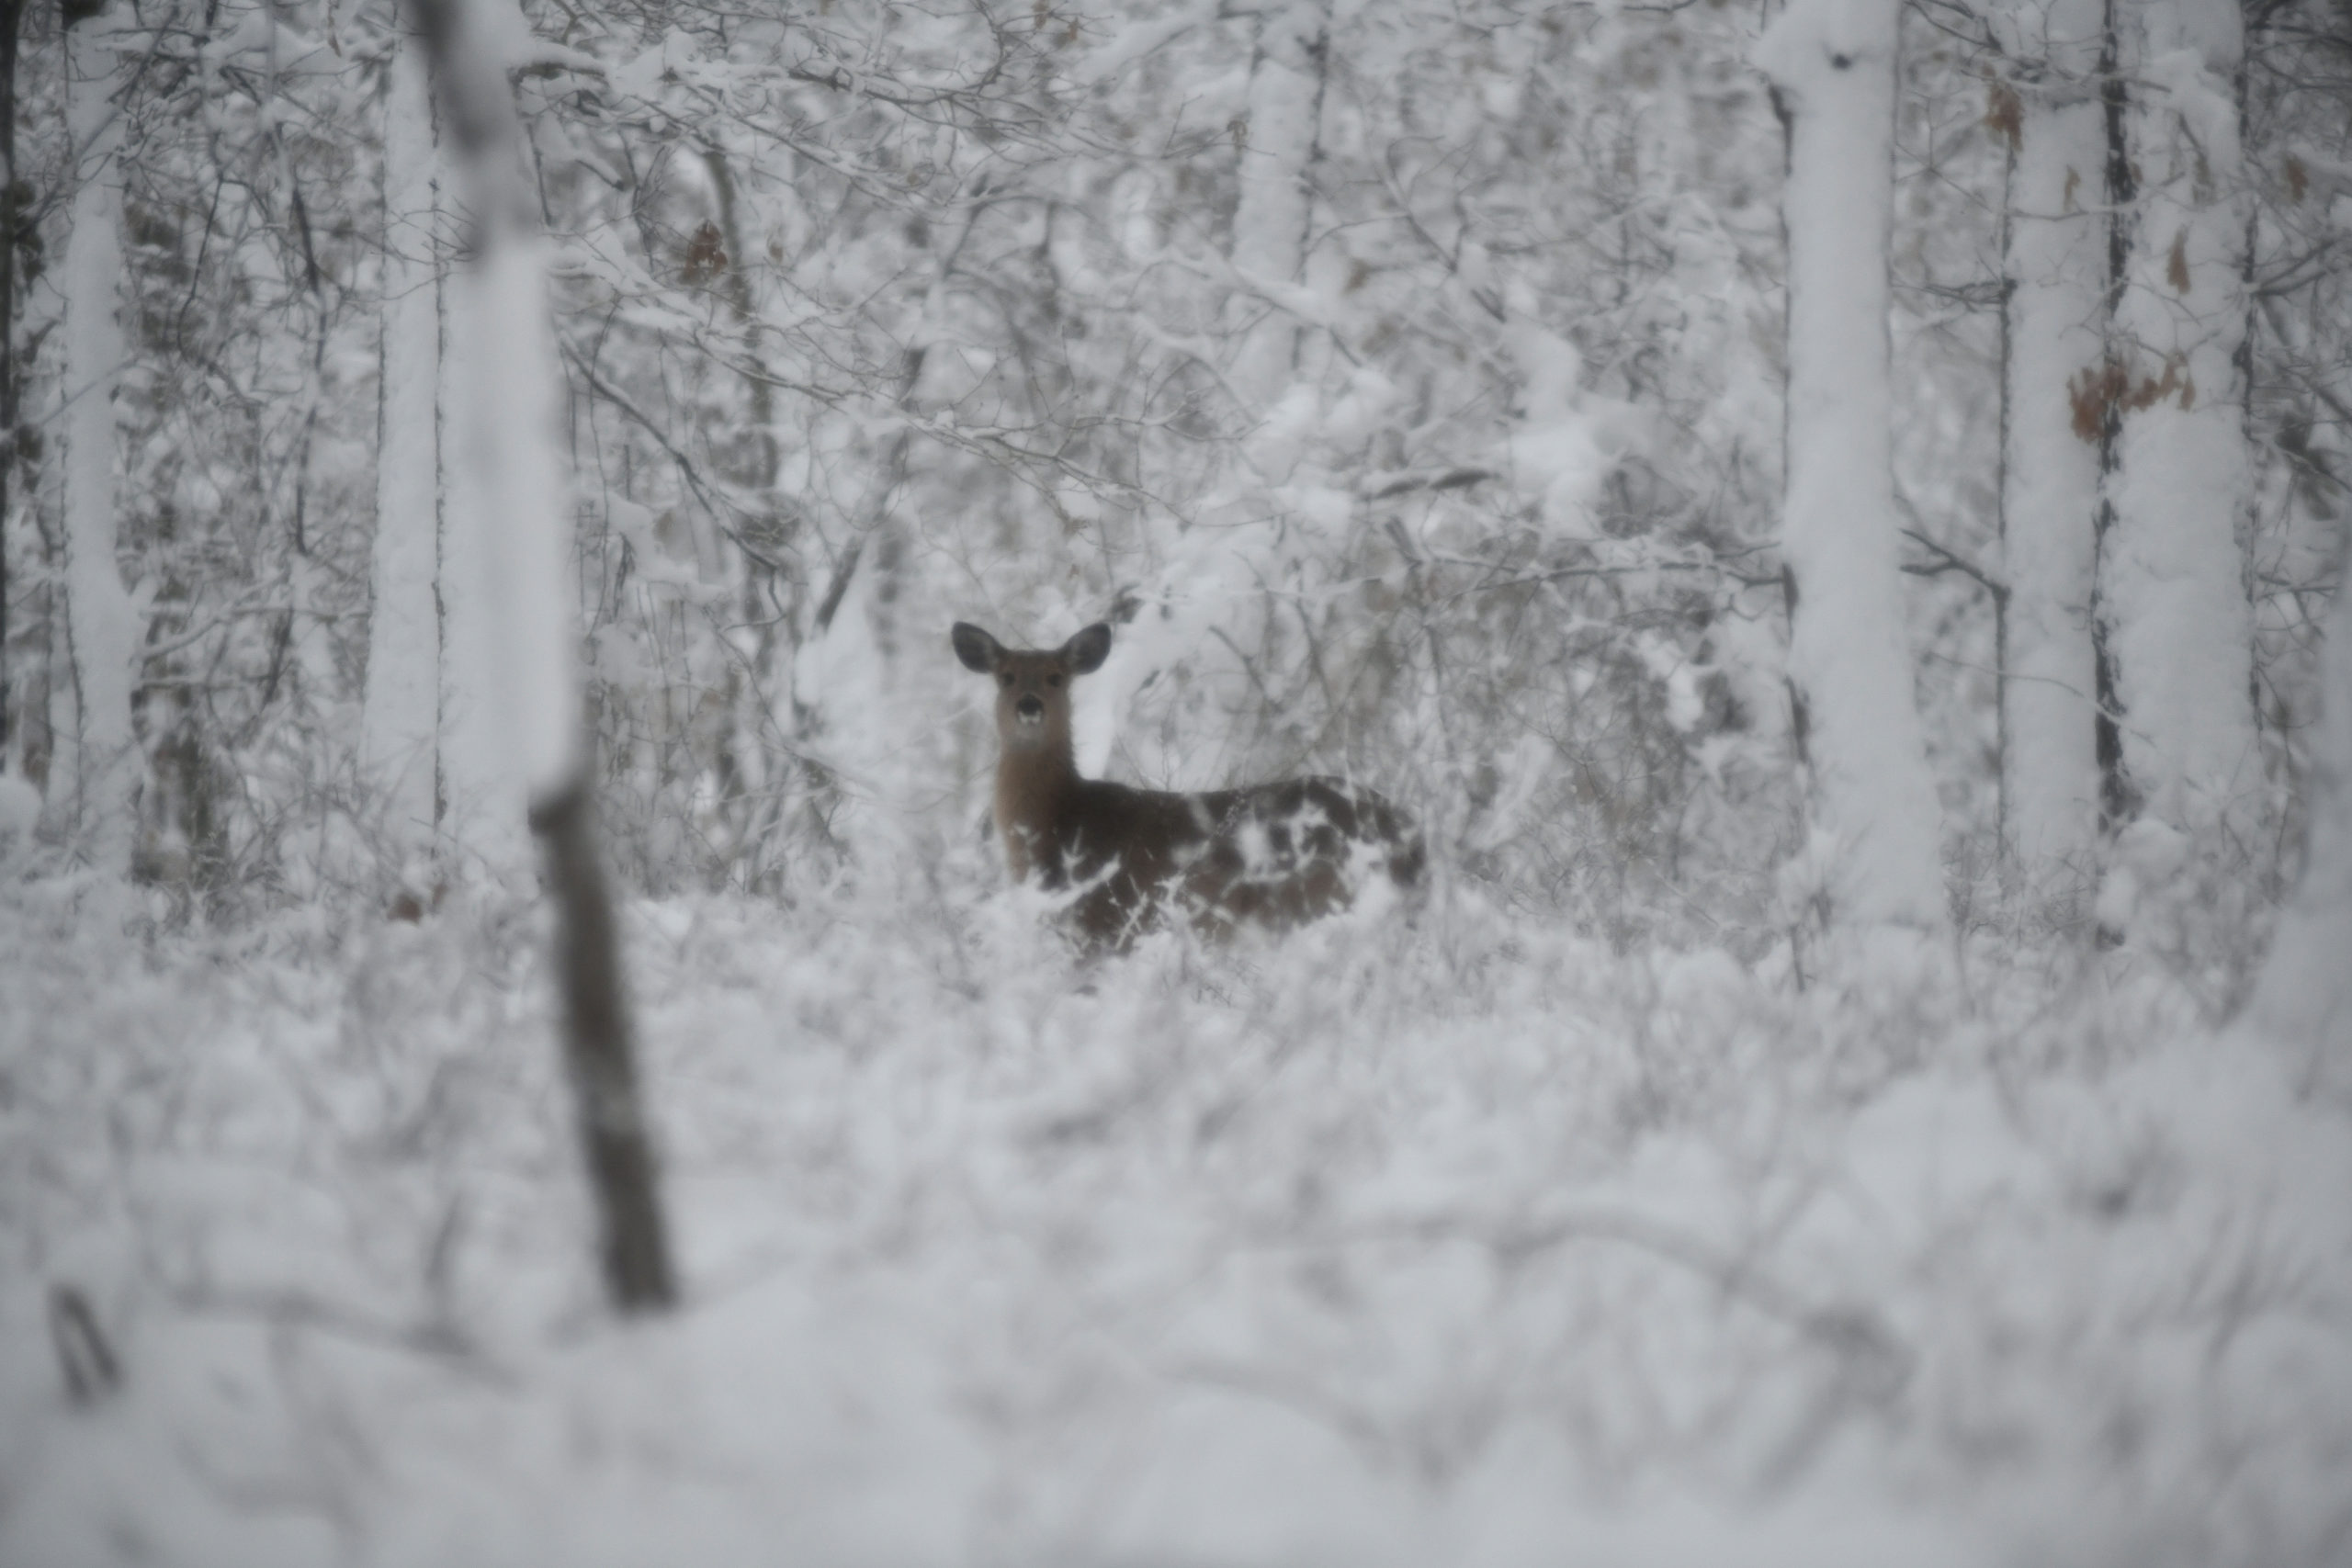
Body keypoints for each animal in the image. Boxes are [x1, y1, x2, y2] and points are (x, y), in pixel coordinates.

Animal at [945, 620, 1420, 944]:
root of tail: (1412, 837)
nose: (1029, 705)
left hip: (1314, 903)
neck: (1060, 820)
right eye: (1005, 677)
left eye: (1056, 677)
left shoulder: (1104, 924)